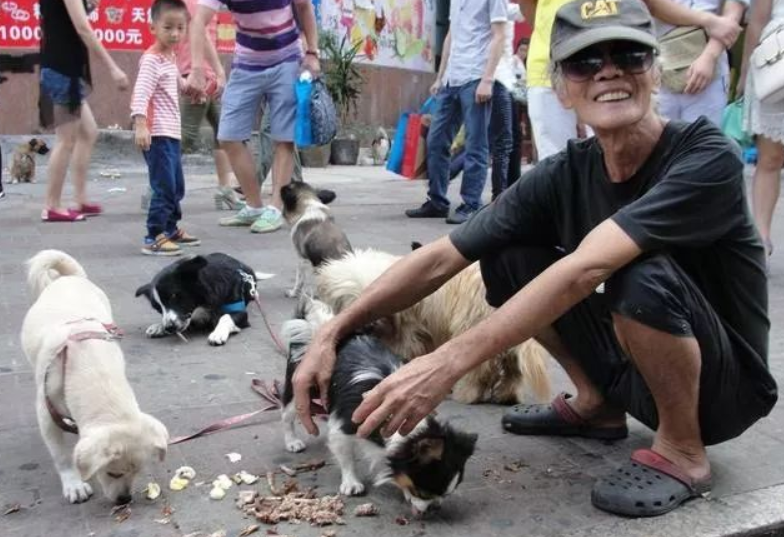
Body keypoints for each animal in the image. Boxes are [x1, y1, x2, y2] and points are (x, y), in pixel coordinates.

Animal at [21, 249, 168, 504]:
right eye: (112, 473)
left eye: (138, 472)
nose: (125, 500)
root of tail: (69, 278)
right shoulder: (46, 414)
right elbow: (62, 457)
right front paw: (74, 484)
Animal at [137, 252, 276, 346]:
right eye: (157, 308)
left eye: (174, 296)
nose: (169, 328)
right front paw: (159, 326)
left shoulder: (240, 311)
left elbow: (226, 317)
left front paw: (218, 333)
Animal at [282, 298, 478, 516]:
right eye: (422, 492)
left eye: (445, 495)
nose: (434, 508)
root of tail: (319, 326)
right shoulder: (344, 424)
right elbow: (346, 456)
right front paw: (351, 483)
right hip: (300, 391)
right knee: (287, 416)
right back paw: (292, 442)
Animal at [314, 249, 552, 404]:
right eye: (353, 300)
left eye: (374, 306)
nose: (369, 326)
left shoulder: (409, 334)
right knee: (512, 366)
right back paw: (506, 395)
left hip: (471, 323)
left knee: (479, 367)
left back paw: (467, 393)